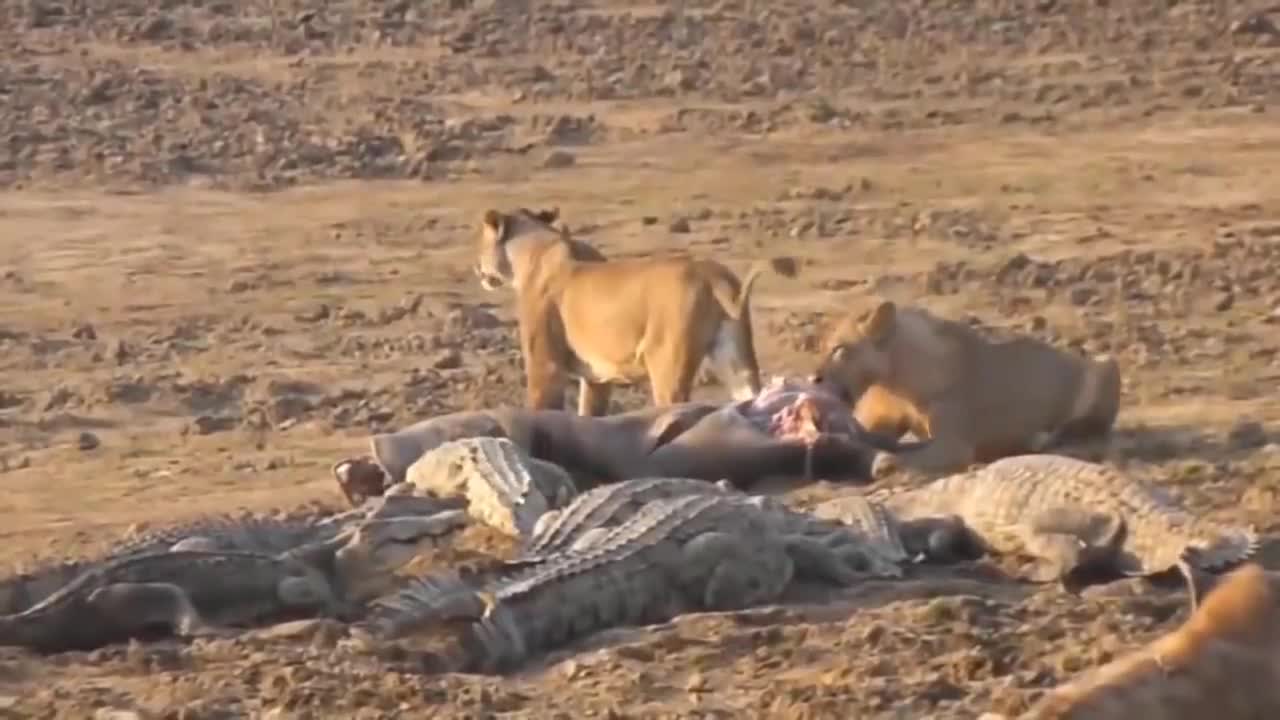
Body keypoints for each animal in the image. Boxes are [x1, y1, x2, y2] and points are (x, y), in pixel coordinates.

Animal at [473, 207, 798, 415]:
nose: (477, 269)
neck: (536, 249)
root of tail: (712, 275)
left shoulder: (545, 365)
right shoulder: (597, 379)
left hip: (666, 363)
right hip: (736, 358)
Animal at [811, 300, 1121, 475]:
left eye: (839, 349)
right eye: (822, 347)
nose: (814, 378)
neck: (896, 381)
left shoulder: (954, 445)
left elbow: (909, 455)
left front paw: (886, 461)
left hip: (1105, 365)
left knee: (1085, 430)